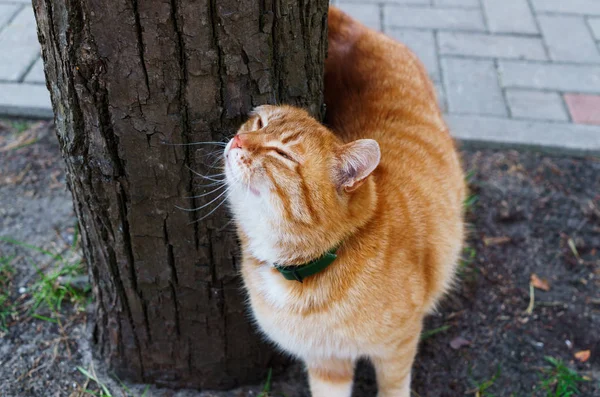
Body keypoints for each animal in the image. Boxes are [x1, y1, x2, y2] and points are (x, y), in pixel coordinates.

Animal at [223, 6, 466, 396]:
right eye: (257, 123)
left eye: (282, 154)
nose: (237, 141)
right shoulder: (326, 363)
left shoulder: (397, 347)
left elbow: (394, 387)